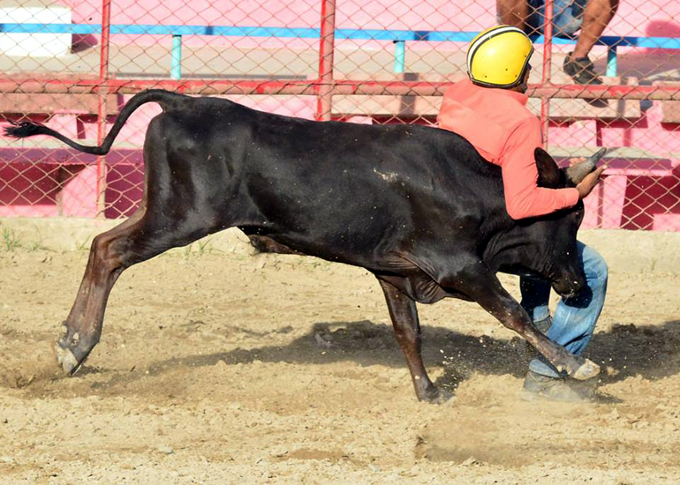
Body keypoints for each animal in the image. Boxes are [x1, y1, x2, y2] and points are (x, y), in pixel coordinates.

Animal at [5, 90, 604, 400]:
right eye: (573, 215)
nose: (578, 284)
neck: (477, 186)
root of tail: (187, 101)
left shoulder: (395, 272)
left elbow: (407, 331)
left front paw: (428, 390)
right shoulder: (460, 266)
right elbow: (512, 313)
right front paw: (577, 368)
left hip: (164, 211)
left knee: (102, 245)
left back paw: (71, 343)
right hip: (179, 217)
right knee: (108, 251)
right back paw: (74, 346)